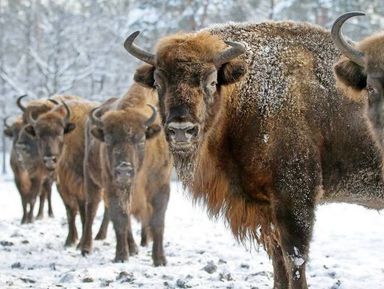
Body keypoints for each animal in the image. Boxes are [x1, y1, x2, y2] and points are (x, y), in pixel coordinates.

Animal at [79, 82, 171, 264]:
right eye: (108, 140)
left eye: (141, 139)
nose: (124, 170)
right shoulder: (113, 187)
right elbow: (120, 219)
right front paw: (121, 256)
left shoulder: (161, 186)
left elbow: (158, 221)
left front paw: (160, 259)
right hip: (91, 180)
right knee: (91, 209)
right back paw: (86, 248)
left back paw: (133, 248)